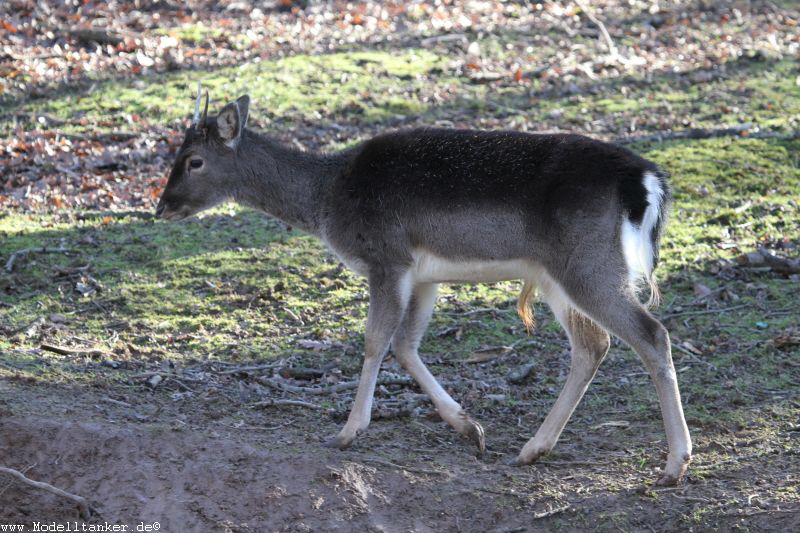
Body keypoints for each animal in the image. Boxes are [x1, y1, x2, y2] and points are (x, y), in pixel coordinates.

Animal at [156, 86, 692, 486]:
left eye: (194, 160)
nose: (161, 206)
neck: (326, 200)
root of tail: (645, 181)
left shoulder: (385, 257)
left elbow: (375, 341)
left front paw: (347, 432)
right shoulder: (424, 275)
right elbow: (405, 344)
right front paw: (469, 427)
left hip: (588, 265)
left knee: (652, 334)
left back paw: (673, 464)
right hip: (560, 275)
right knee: (593, 345)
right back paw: (533, 448)